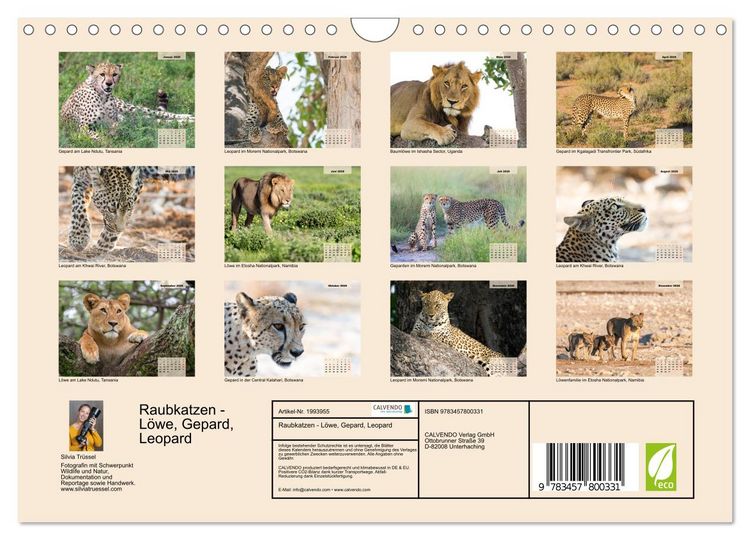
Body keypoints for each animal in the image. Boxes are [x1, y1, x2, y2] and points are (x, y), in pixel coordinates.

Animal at [60, 62, 195, 140]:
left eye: (114, 74)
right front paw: (107, 140)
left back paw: (189, 117)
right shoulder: (82, 127)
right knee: (156, 122)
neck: (103, 96)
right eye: (102, 74)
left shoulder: (112, 122)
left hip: (132, 109)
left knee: (163, 114)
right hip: (134, 118)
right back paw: (186, 122)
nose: (109, 83)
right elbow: (98, 135)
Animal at [67, 166, 196, 253]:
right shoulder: (80, 179)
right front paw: (78, 238)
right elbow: (78, 206)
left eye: (129, 208)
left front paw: (103, 246)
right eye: (111, 209)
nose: (120, 229)